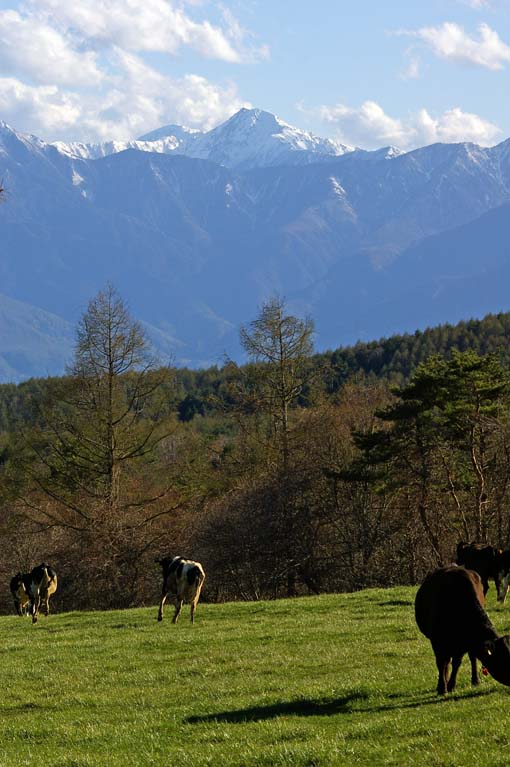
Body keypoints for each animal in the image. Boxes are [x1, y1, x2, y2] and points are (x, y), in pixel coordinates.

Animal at [416, 564, 510, 696]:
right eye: (503, 659)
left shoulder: (463, 644)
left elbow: (457, 663)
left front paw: (451, 685)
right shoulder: (436, 641)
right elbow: (441, 663)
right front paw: (442, 688)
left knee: (471, 658)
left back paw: (475, 680)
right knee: (446, 662)